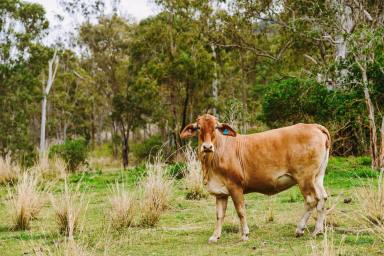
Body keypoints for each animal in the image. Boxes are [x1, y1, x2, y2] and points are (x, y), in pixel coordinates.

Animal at [180, 113, 330, 242]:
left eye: (216, 127)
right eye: (198, 127)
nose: (207, 147)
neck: (211, 164)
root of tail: (314, 126)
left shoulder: (235, 186)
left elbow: (241, 211)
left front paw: (245, 234)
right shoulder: (220, 193)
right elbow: (219, 215)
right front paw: (215, 236)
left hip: (305, 177)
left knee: (312, 200)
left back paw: (300, 229)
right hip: (317, 176)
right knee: (322, 198)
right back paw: (318, 230)